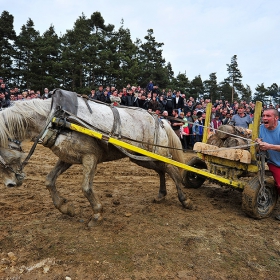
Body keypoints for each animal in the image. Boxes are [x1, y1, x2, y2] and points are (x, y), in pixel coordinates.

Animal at [0, 91, 190, 226]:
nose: (9, 184)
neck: (56, 117)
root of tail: (161, 121)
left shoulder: (90, 157)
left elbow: (86, 188)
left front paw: (97, 213)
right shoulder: (67, 158)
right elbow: (49, 180)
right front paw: (66, 208)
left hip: (154, 154)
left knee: (171, 169)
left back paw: (184, 199)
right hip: (142, 157)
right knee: (162, 170)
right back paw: (161, 195)